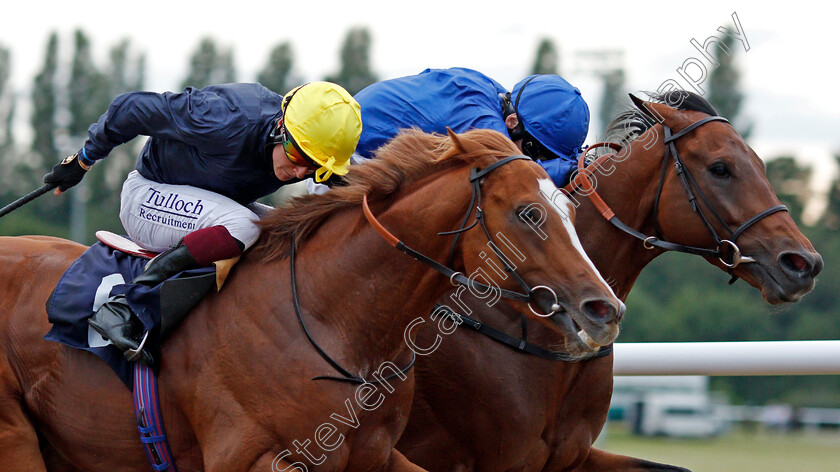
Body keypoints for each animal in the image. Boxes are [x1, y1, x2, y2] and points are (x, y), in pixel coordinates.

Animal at [0, 128, 624, 472]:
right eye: (529, 213)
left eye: (570, 209)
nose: (605, 310)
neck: (332, 319)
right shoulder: (253, 459)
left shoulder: (377, 457)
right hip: (17, 437)